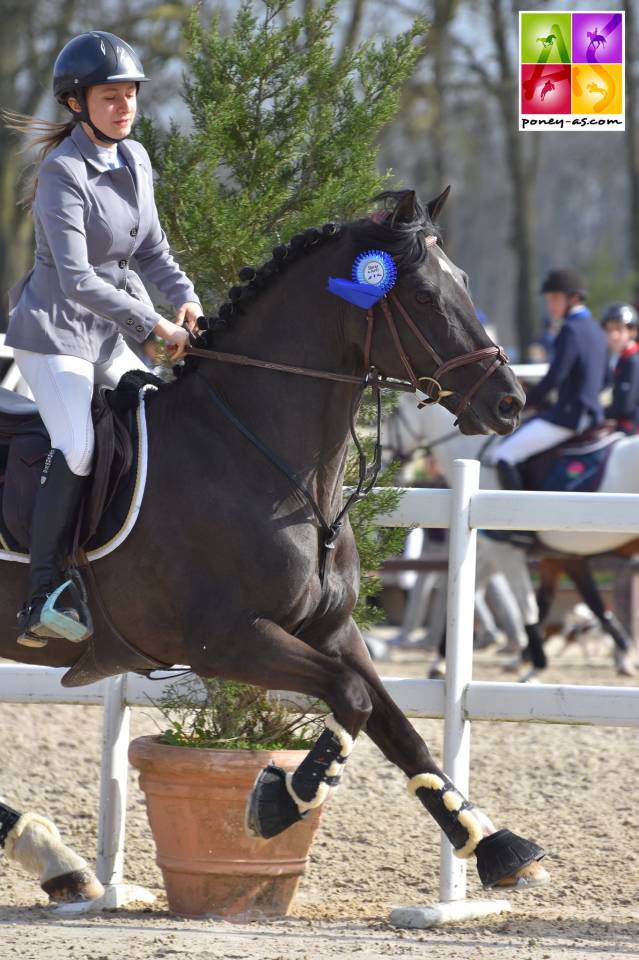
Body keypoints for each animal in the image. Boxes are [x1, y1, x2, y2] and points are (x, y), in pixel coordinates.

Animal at [0, 187, 549, 893]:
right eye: (426, 297)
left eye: (465, 283)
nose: (510, 403)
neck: (264, 460)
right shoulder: (227, 641)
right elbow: (351, 699)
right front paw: (279, 800)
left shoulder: (331, 629)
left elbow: (394, 723)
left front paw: (491, 843)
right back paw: (52, 855)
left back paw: (55, 860)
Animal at [384, 393, 638, 679]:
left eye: (388, 416)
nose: (385, 466)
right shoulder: (555, 555)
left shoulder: (506, 549)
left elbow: (528, 605)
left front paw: (535, 666)